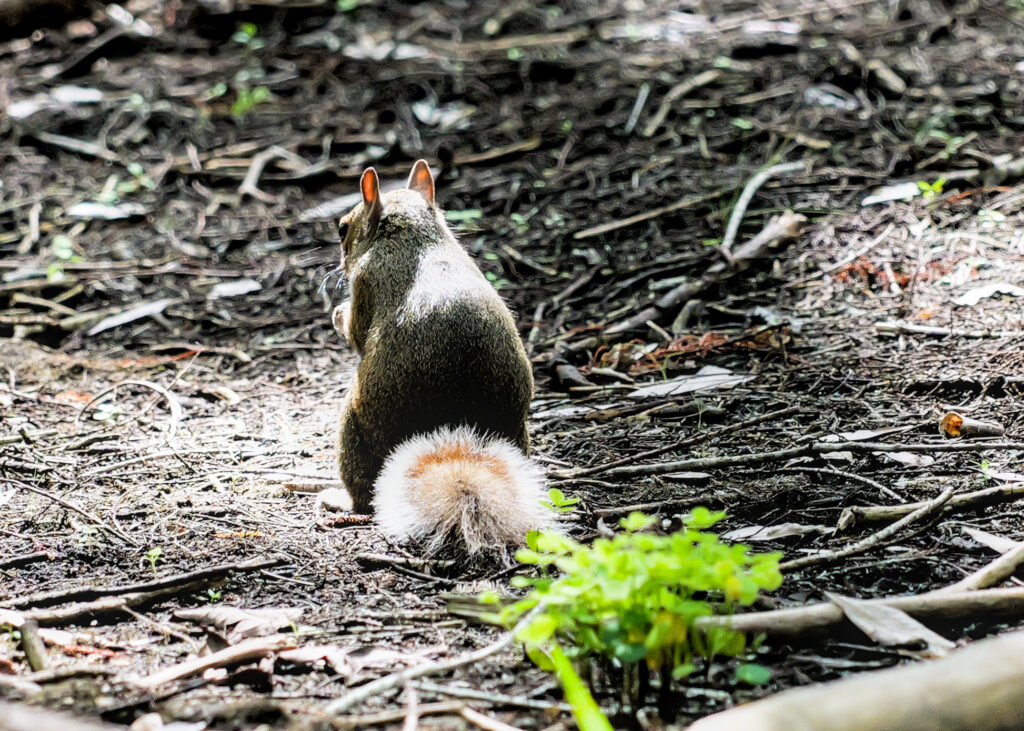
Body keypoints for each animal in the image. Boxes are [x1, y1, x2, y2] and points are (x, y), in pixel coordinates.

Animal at [332, 160, 552, 556]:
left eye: (344, 229)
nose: (340, 266)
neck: (412, 234)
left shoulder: (366, 281)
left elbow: (356, 332)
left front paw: (338, 313)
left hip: (352, 427)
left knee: (364, 495)